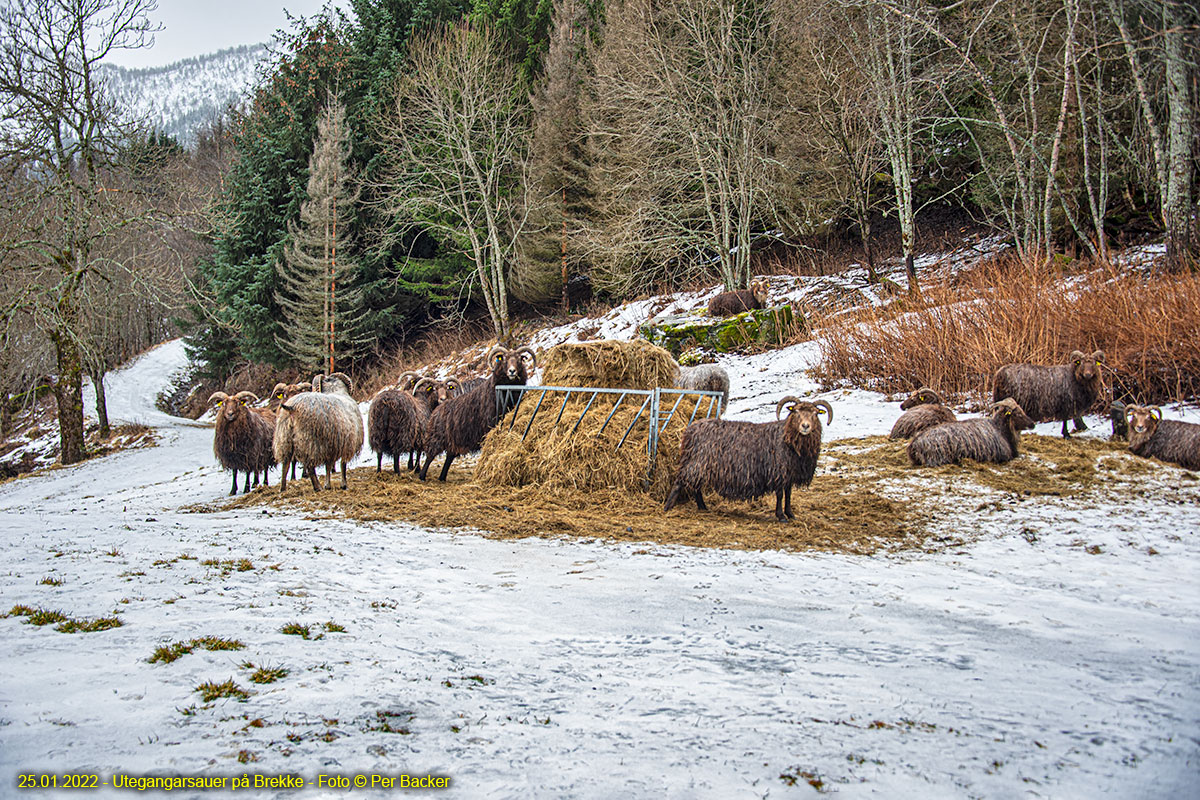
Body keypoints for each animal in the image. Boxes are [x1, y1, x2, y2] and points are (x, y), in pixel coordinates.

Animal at [420, 345, 537, 482]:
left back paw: (442, 477)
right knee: (430, 456)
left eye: (520, 359)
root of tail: (437, 409)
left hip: (453, 441)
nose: (512, 371)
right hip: (436, 437)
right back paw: (422, 476)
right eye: (504, 359)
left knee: (449, 458)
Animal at [662, 395, 830, 522]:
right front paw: (781, 516)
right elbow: (780, 495)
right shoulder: (778, 472)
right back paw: (668, 507)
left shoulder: (789, 474)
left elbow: (788, 495)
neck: (786, 438)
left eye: (816, 413)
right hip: (696, 462)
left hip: (700, 465)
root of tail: (691, 429)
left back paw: (703, 507)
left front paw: (790, 514)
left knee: (696, 487)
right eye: (795, 411)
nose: (805, 426)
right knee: (680, 482)